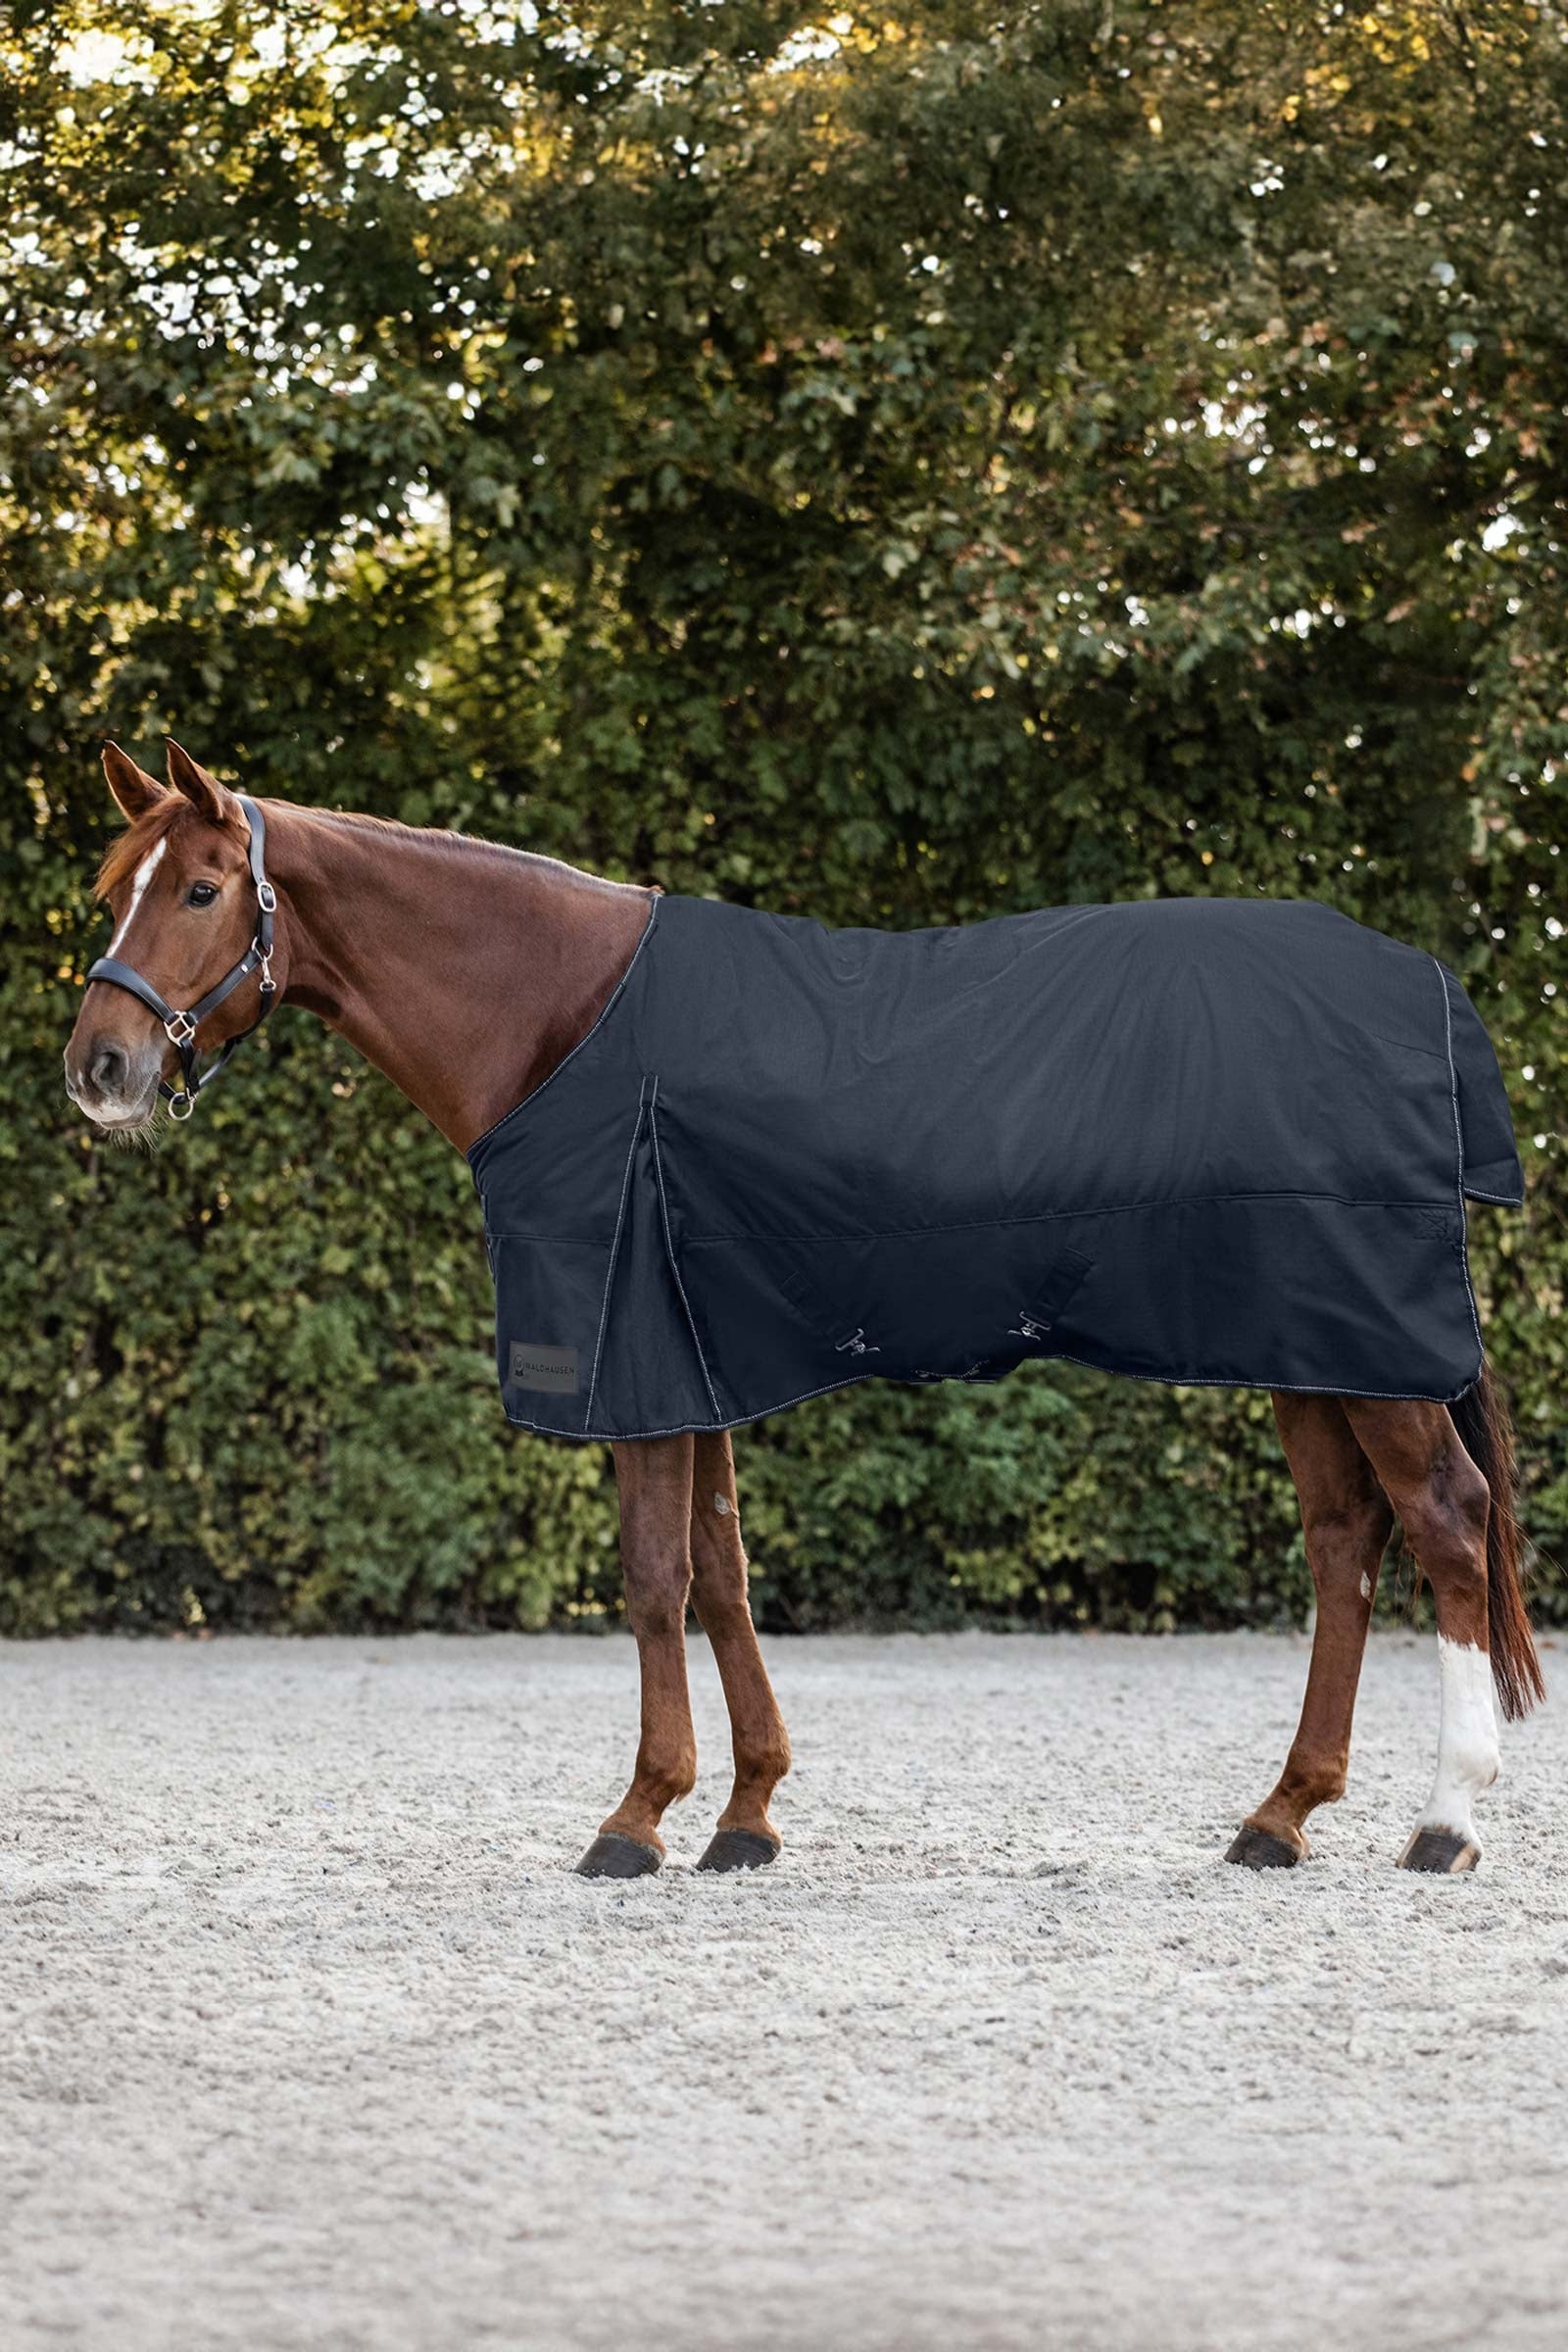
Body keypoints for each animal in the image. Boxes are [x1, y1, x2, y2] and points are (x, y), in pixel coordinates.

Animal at [63, 739, 1544, 1878]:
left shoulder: (636, 1356)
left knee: (1445, 1524)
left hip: (1369, 1352)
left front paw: (636, 1819)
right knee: (1346, 1543)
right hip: (1312, 1348)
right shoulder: (692, 1352)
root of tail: (1422, 986)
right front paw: (748, 1813)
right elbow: (722, 1575)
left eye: (201, 888)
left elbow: (654, 1579)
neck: (560, 1016)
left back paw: (1444, 1822)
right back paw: (1281, 1816)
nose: (100, 1068)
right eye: (108, 889)